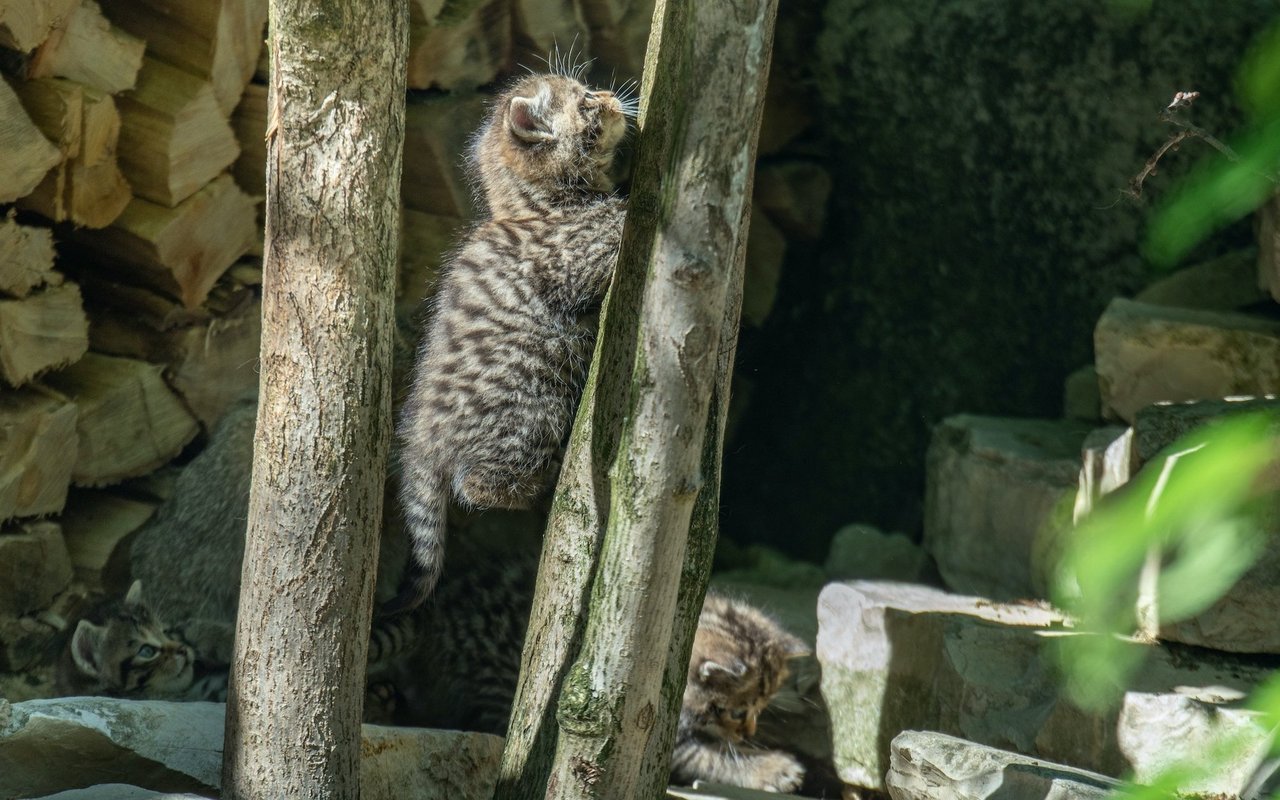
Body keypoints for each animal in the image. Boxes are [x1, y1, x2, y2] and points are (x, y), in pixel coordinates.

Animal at [389, 70, 629, 611]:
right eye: (586, 101)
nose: (609, 96)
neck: (536, 207)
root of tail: (422, 438)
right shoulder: (576, 258)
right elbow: (618, 223)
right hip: (532, 410)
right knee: (478, 484)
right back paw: (539, 484)